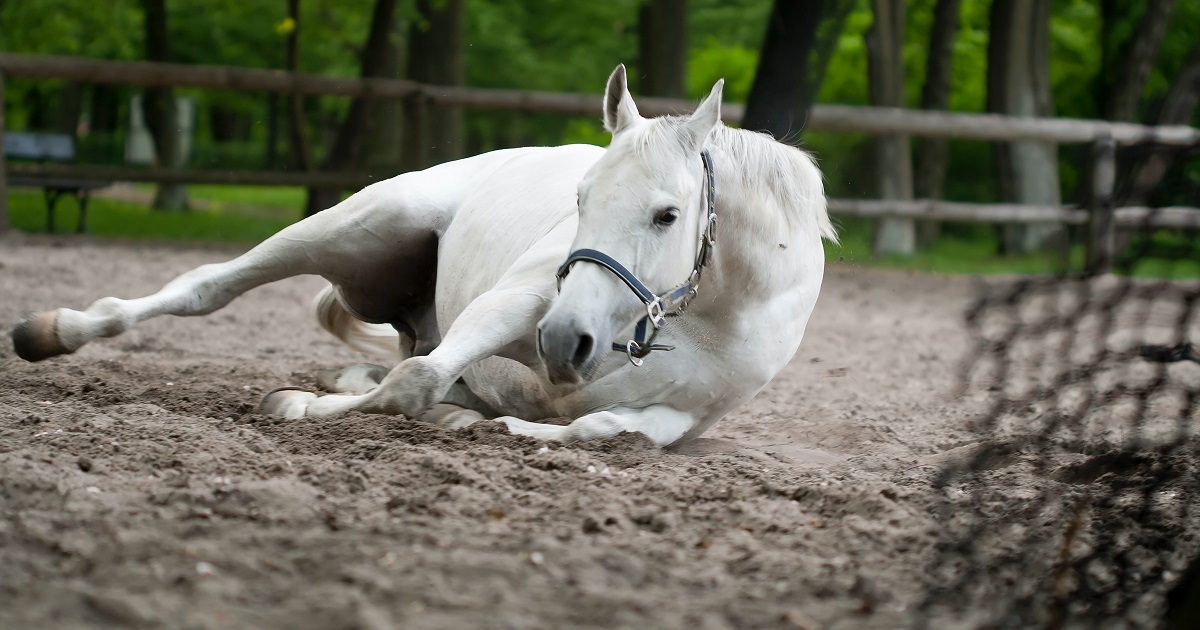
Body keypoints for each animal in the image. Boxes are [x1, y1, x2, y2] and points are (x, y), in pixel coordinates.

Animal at [11, 65, 835, 446]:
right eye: (580, 199)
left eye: (668, 215)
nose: (566, 342)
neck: (711, 313)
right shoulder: (521, 303)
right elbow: (415, 382)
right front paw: (302, 406)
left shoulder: (685, 415)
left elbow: (603, 428)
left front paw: (495, 426)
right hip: (352, 226)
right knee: (208, 287)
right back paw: (52, 332)